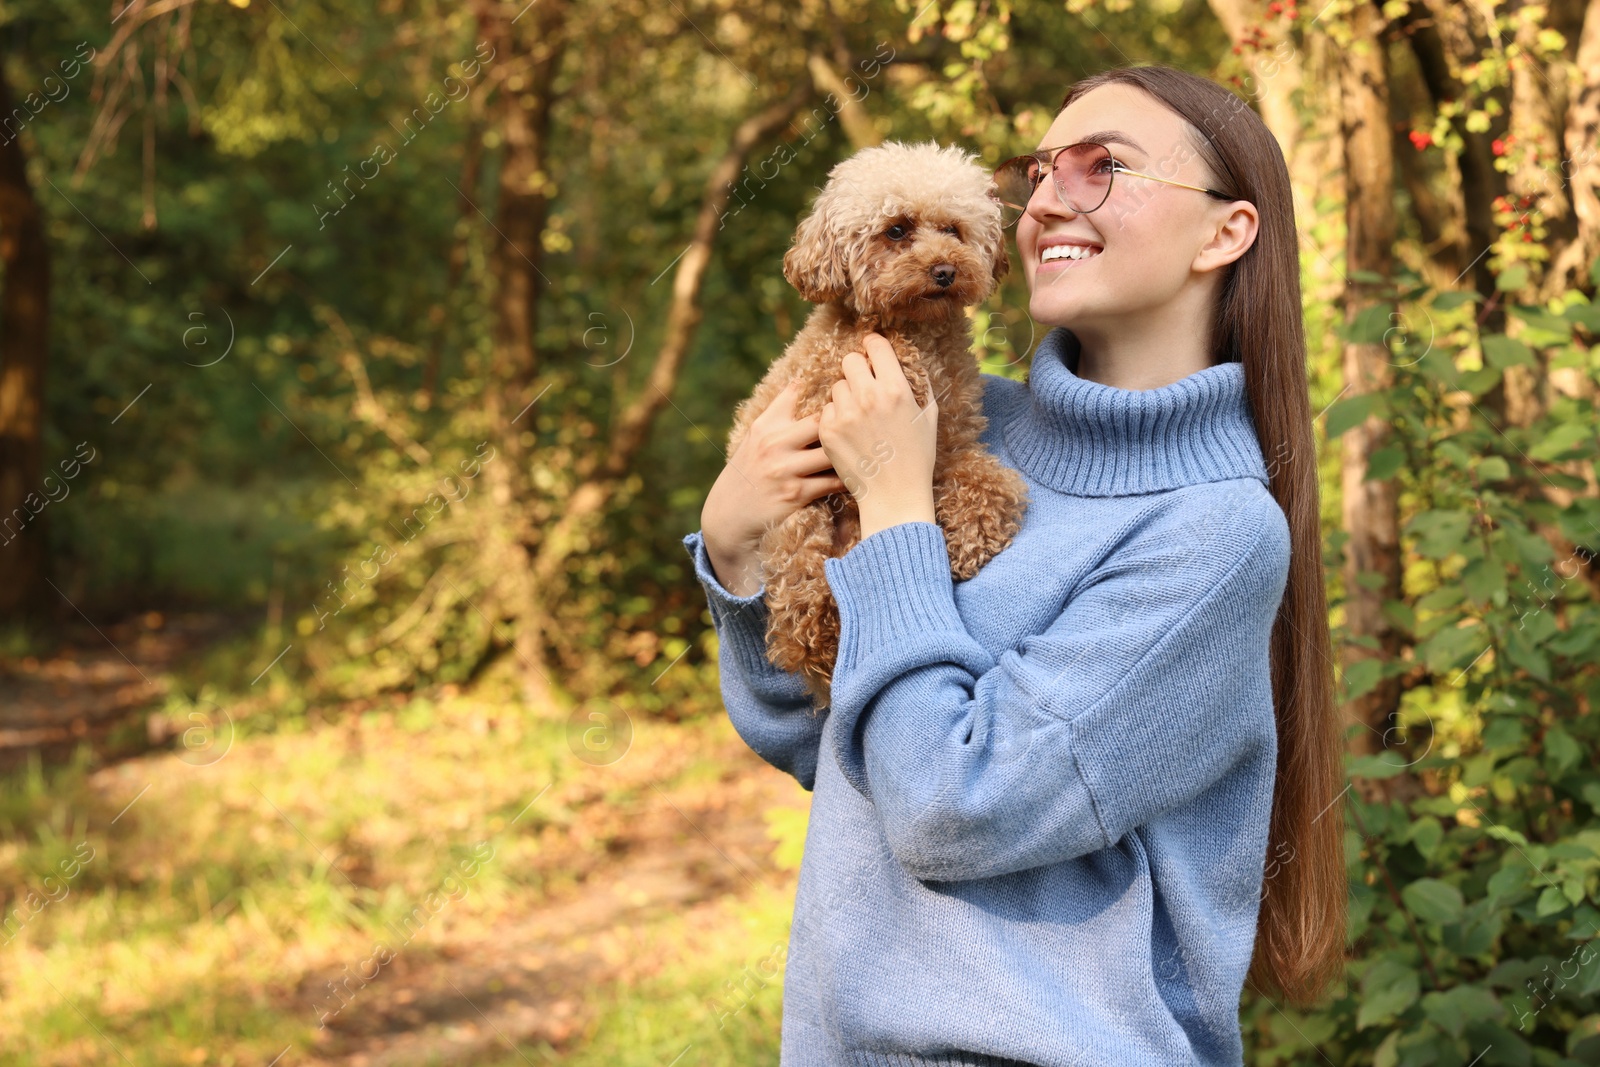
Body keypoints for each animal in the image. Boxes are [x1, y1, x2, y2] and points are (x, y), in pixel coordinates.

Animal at [729, 139, 1030, 710]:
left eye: (953, 229)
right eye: (896, 230)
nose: (944, 270)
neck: (917, 327)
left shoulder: (952, 444)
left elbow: (988, 482)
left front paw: (971, 536)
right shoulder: (821, 384)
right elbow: (878, 349)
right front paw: (902, 361)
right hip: (795, 518)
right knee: (797, 604)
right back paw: (822, 630)